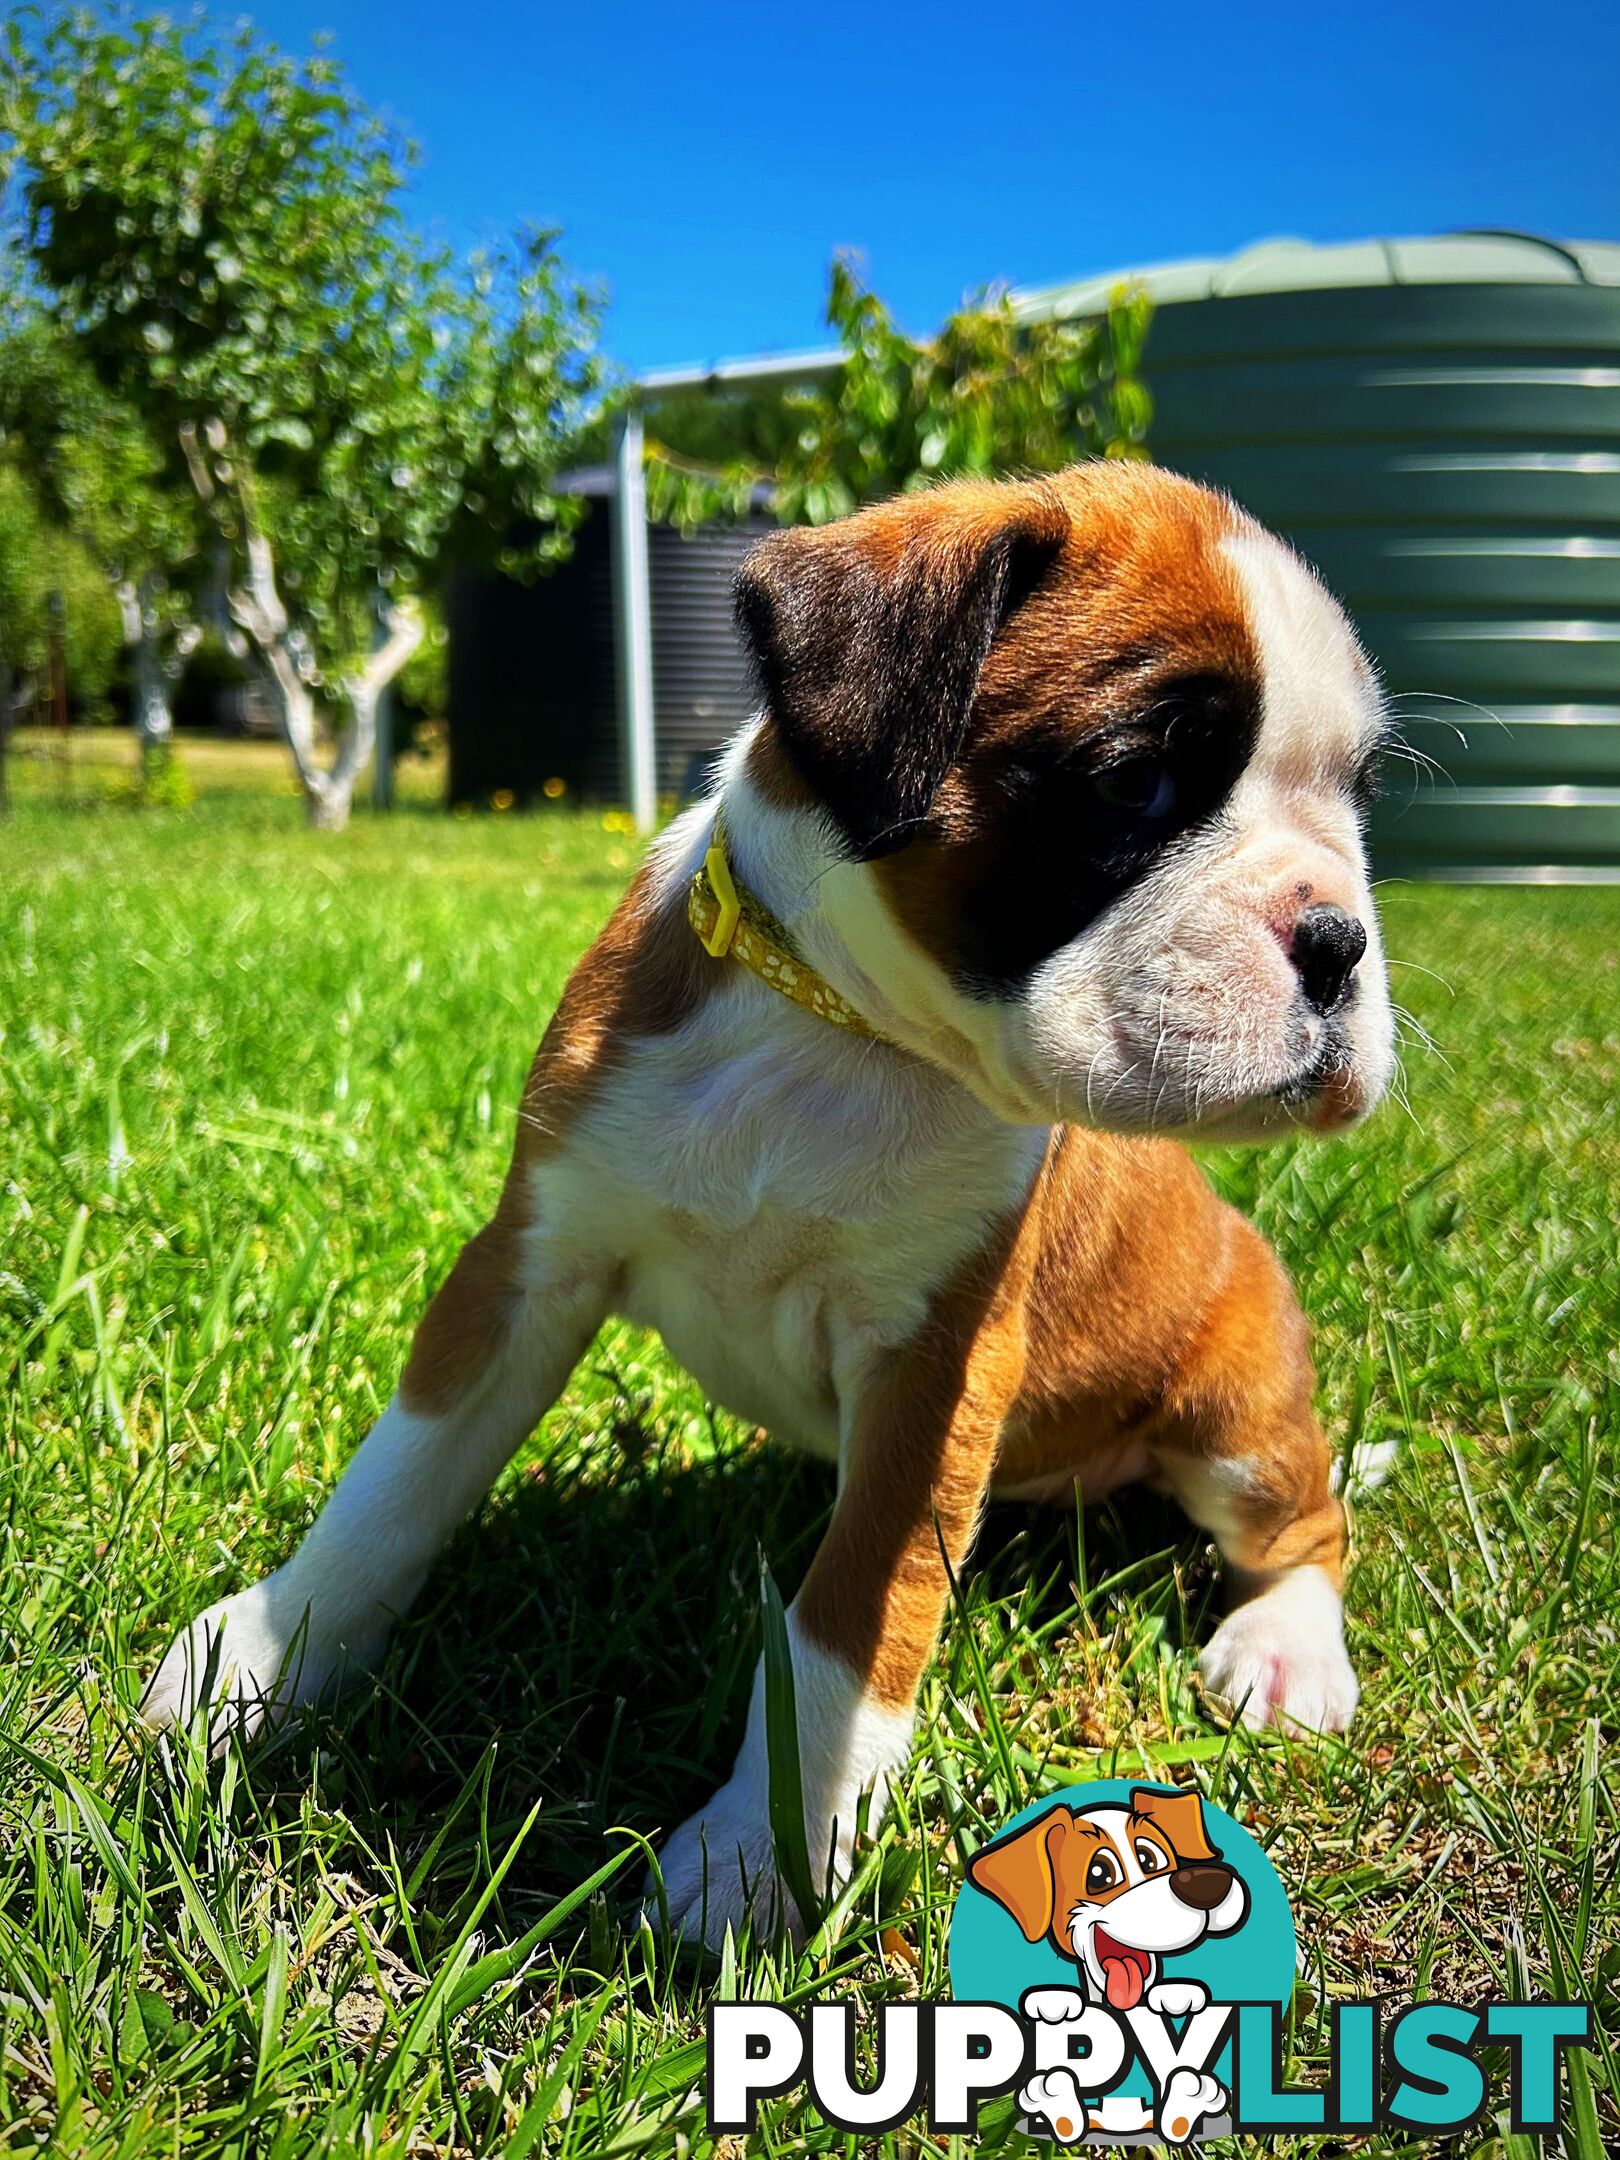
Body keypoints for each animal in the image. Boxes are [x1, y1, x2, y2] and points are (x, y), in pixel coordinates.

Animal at [145, 464, 1399, 1952]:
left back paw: (1288, 1650)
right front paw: (268, 1659)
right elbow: (400, 1478)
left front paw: (765, 1847)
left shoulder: (934, 1378)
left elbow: (846, 1626)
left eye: (1364, 801)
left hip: (1238, 1422)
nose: (1340, 941)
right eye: (1134, 779)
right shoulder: (525, 1265)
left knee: (1308, 1528)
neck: (841, 1031)